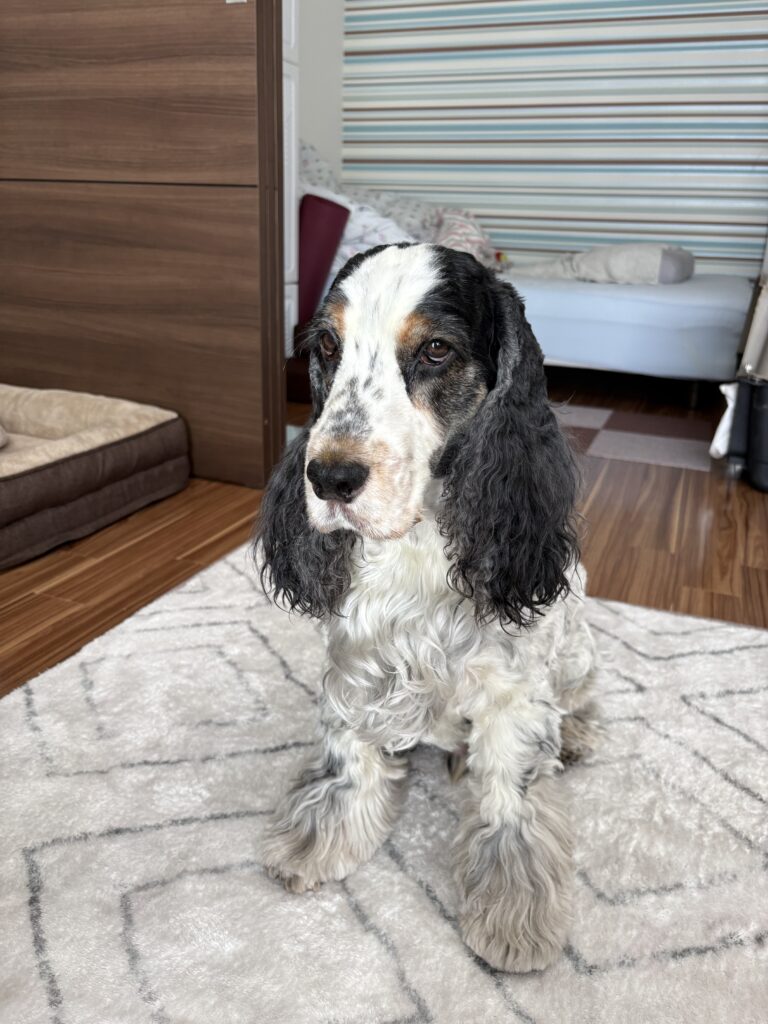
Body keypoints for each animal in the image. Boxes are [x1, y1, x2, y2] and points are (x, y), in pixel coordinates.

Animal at [254, 242, 599, 972]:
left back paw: (578, 734)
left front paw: (514, 915)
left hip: (579, 645)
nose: (328, 477)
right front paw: (317, 839)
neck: (415, 545)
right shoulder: (353, 668)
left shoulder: (513, 693)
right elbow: (348, 762)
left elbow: (511, 800)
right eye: (326, 344)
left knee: (581, 698)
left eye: (436, 349)